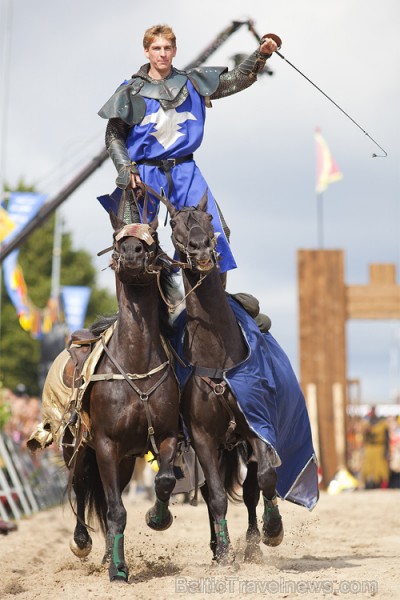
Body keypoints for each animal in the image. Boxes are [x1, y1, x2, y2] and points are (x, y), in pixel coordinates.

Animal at [62, 213, 180, 580]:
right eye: (117, 236)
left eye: (154, 235)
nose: (131, 253)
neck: (135, 362)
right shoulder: (104, 444)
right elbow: (115, 510)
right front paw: (118, 571)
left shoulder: (167, 435)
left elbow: (165, 480)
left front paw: (158, 518)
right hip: (79, 450)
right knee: (81, 488)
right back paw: (83, 542)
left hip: (126, 461)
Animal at [166, 196, 284, 564]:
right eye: (174, 225)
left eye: (208, 219)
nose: (201, 248)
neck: (217, 358)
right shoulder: (203, 439)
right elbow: (216, 496)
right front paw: (225, 553)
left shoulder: (255, 424)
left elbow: (265, 478)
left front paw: (271, 531)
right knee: (210, 492)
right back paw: (219, 546)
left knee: (250, 489)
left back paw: (252, 541)